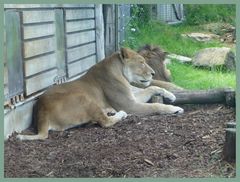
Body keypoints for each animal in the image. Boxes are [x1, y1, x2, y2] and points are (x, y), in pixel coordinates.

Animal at [17, 47, 184, 140]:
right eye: (141, 62)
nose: (153, 73)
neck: (121, 73)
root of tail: (41, 113)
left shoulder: (132, 96)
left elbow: (152, 88)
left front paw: (171, 95)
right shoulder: (129, 105)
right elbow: (155, 105)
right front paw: (175, 109)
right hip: (84, 98)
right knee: (105, 122)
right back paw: (119, 114)